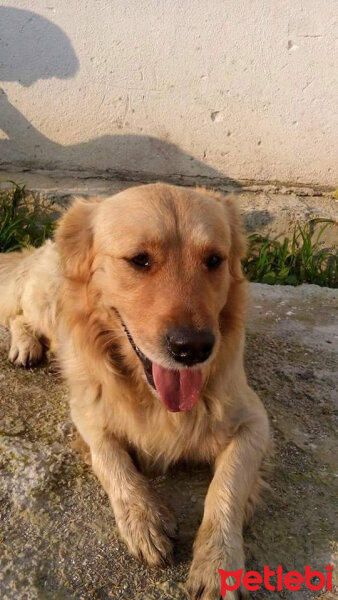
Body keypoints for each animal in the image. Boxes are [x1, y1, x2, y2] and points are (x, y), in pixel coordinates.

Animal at [0, 184, 270, 600]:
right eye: (139, 260)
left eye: (214, 260)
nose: (193, 349)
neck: (153, 399)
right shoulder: (87, 412)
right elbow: (111, 458)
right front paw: (143, 520)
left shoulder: (254, 420)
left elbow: (227, 485)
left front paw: (218, 563)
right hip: (43, 300)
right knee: (18, 315)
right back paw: (25, 344)